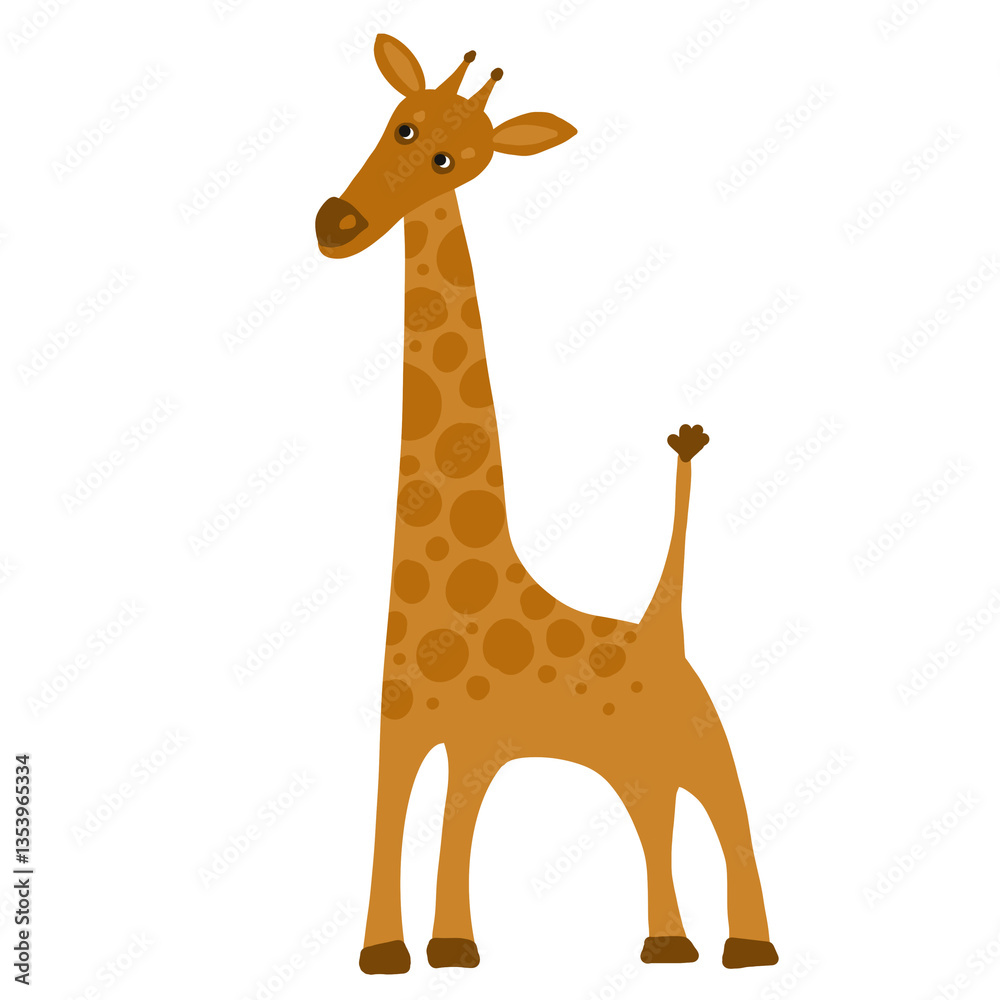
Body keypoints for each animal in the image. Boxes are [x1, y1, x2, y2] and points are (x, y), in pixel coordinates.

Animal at [315, 34, 778, 976]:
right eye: (400, 123)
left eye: (452, 160)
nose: (335, 223)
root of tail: (663, 626)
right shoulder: (398, 722)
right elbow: (389, 818)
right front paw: (384, 952)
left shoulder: (477, 737)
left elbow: (454, 826)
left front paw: (452, 946)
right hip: (634, 757)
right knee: (654, 818)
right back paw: (668, 944)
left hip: (701, 739)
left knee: (729, 814)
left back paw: (744, 947)